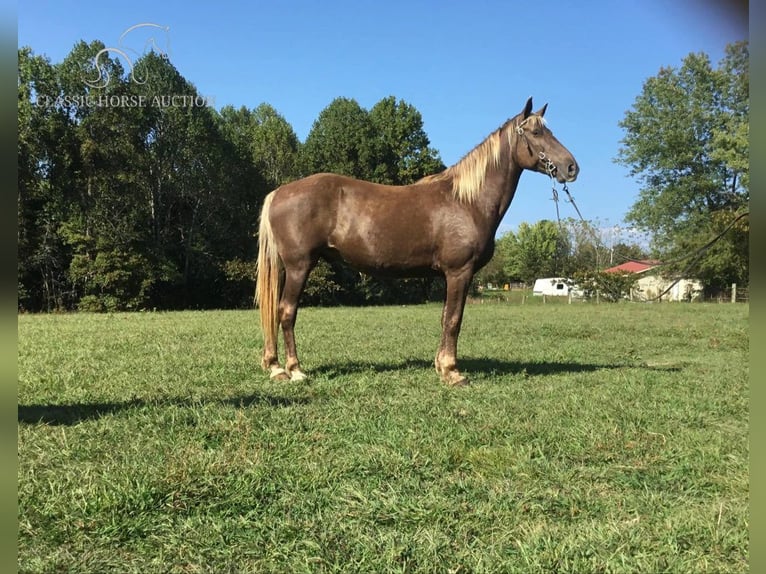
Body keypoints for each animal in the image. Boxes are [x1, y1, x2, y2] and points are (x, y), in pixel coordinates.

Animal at [255, 98, 580, 388]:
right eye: (536, 133)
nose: (571, 167)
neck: (467, 201)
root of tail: (279, 192)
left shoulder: (450, 276)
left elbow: (444, 317)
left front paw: (440, 366)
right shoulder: (459, 272)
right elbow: (454, 320)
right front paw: (452, 372)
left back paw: (275, 367)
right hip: (300, 266)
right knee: (286, 312)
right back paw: (294, 370)